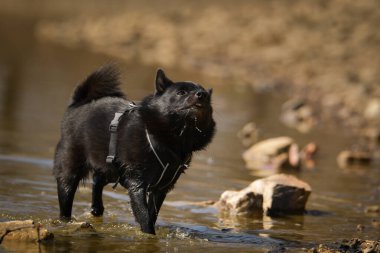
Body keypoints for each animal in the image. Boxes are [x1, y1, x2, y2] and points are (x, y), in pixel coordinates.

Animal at [52, 64, 215, 233]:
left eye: (206, 96)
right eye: (181, 92)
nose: (201, 95)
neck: (174, 139)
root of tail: (79, 102)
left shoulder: (161, 189)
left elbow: (152, 214)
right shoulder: (136, 184)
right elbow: (145, 216)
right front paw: (148, 235)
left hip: (110, 170)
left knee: (97, 183)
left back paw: (97, 211)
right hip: (70, 171)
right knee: (66, 198)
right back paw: (66, 221)